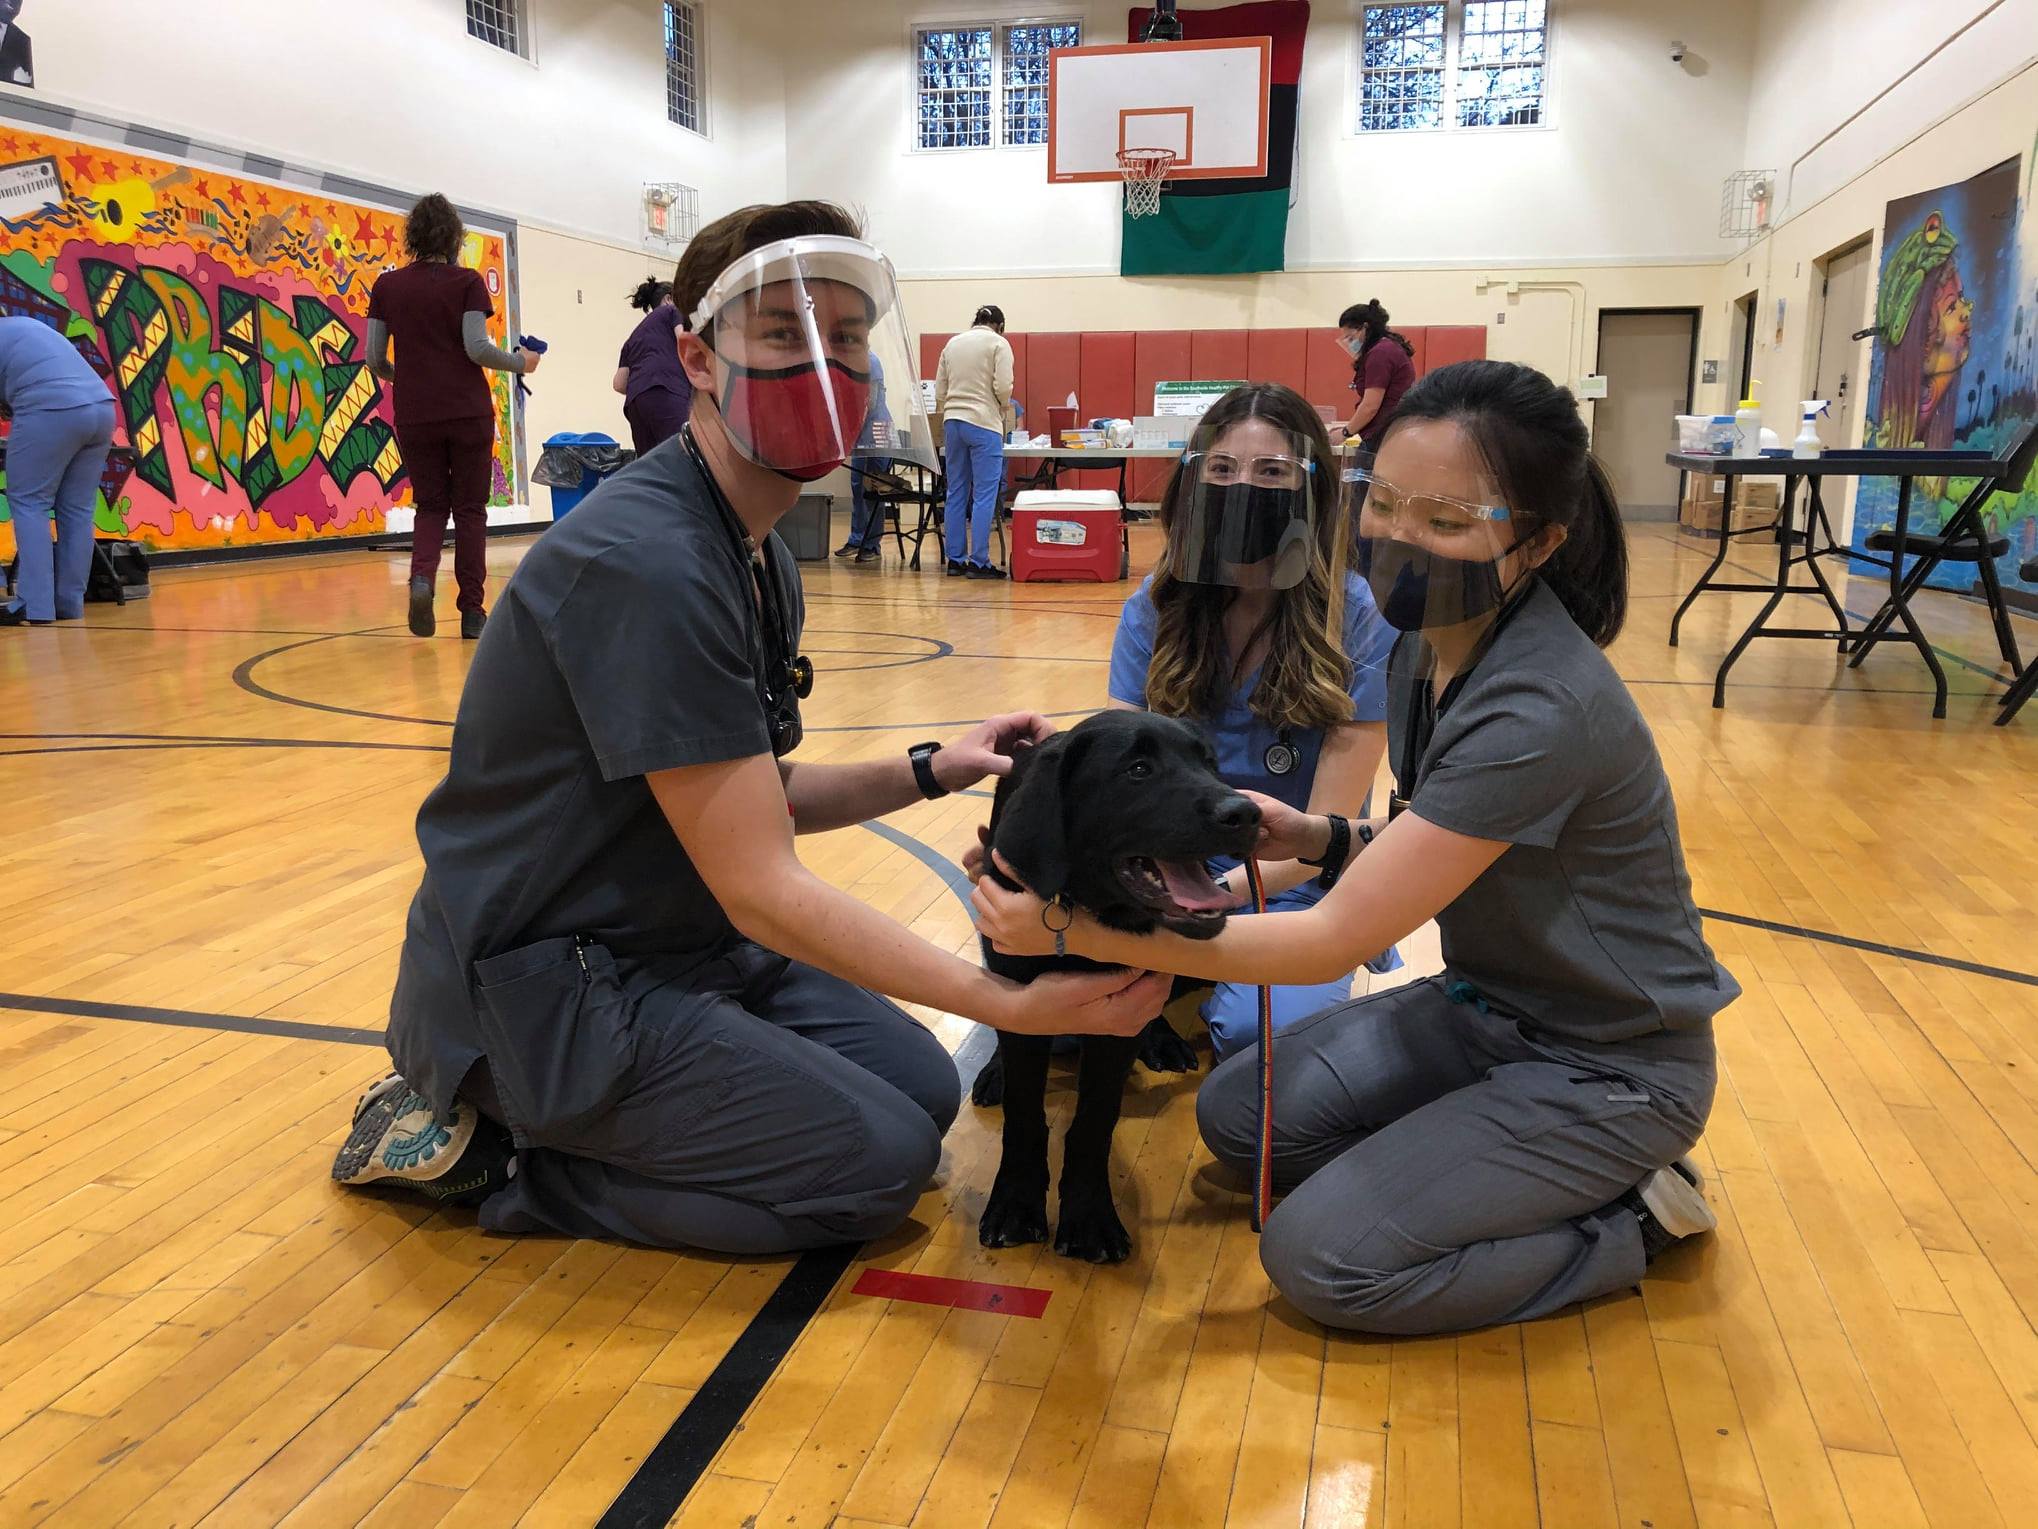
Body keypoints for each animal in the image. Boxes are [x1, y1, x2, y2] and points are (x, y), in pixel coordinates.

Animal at [974, 713, 1255, 1263]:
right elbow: (1023, 1109)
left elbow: (1094, 1121)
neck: (1081, 907)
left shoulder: (1116, 1018)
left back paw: (1162, 1039)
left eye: (1210, 763)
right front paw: (1015, 1201)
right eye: (1138, 769)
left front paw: (1088, 1215)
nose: (1248, 813)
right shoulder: (1025, 1003)